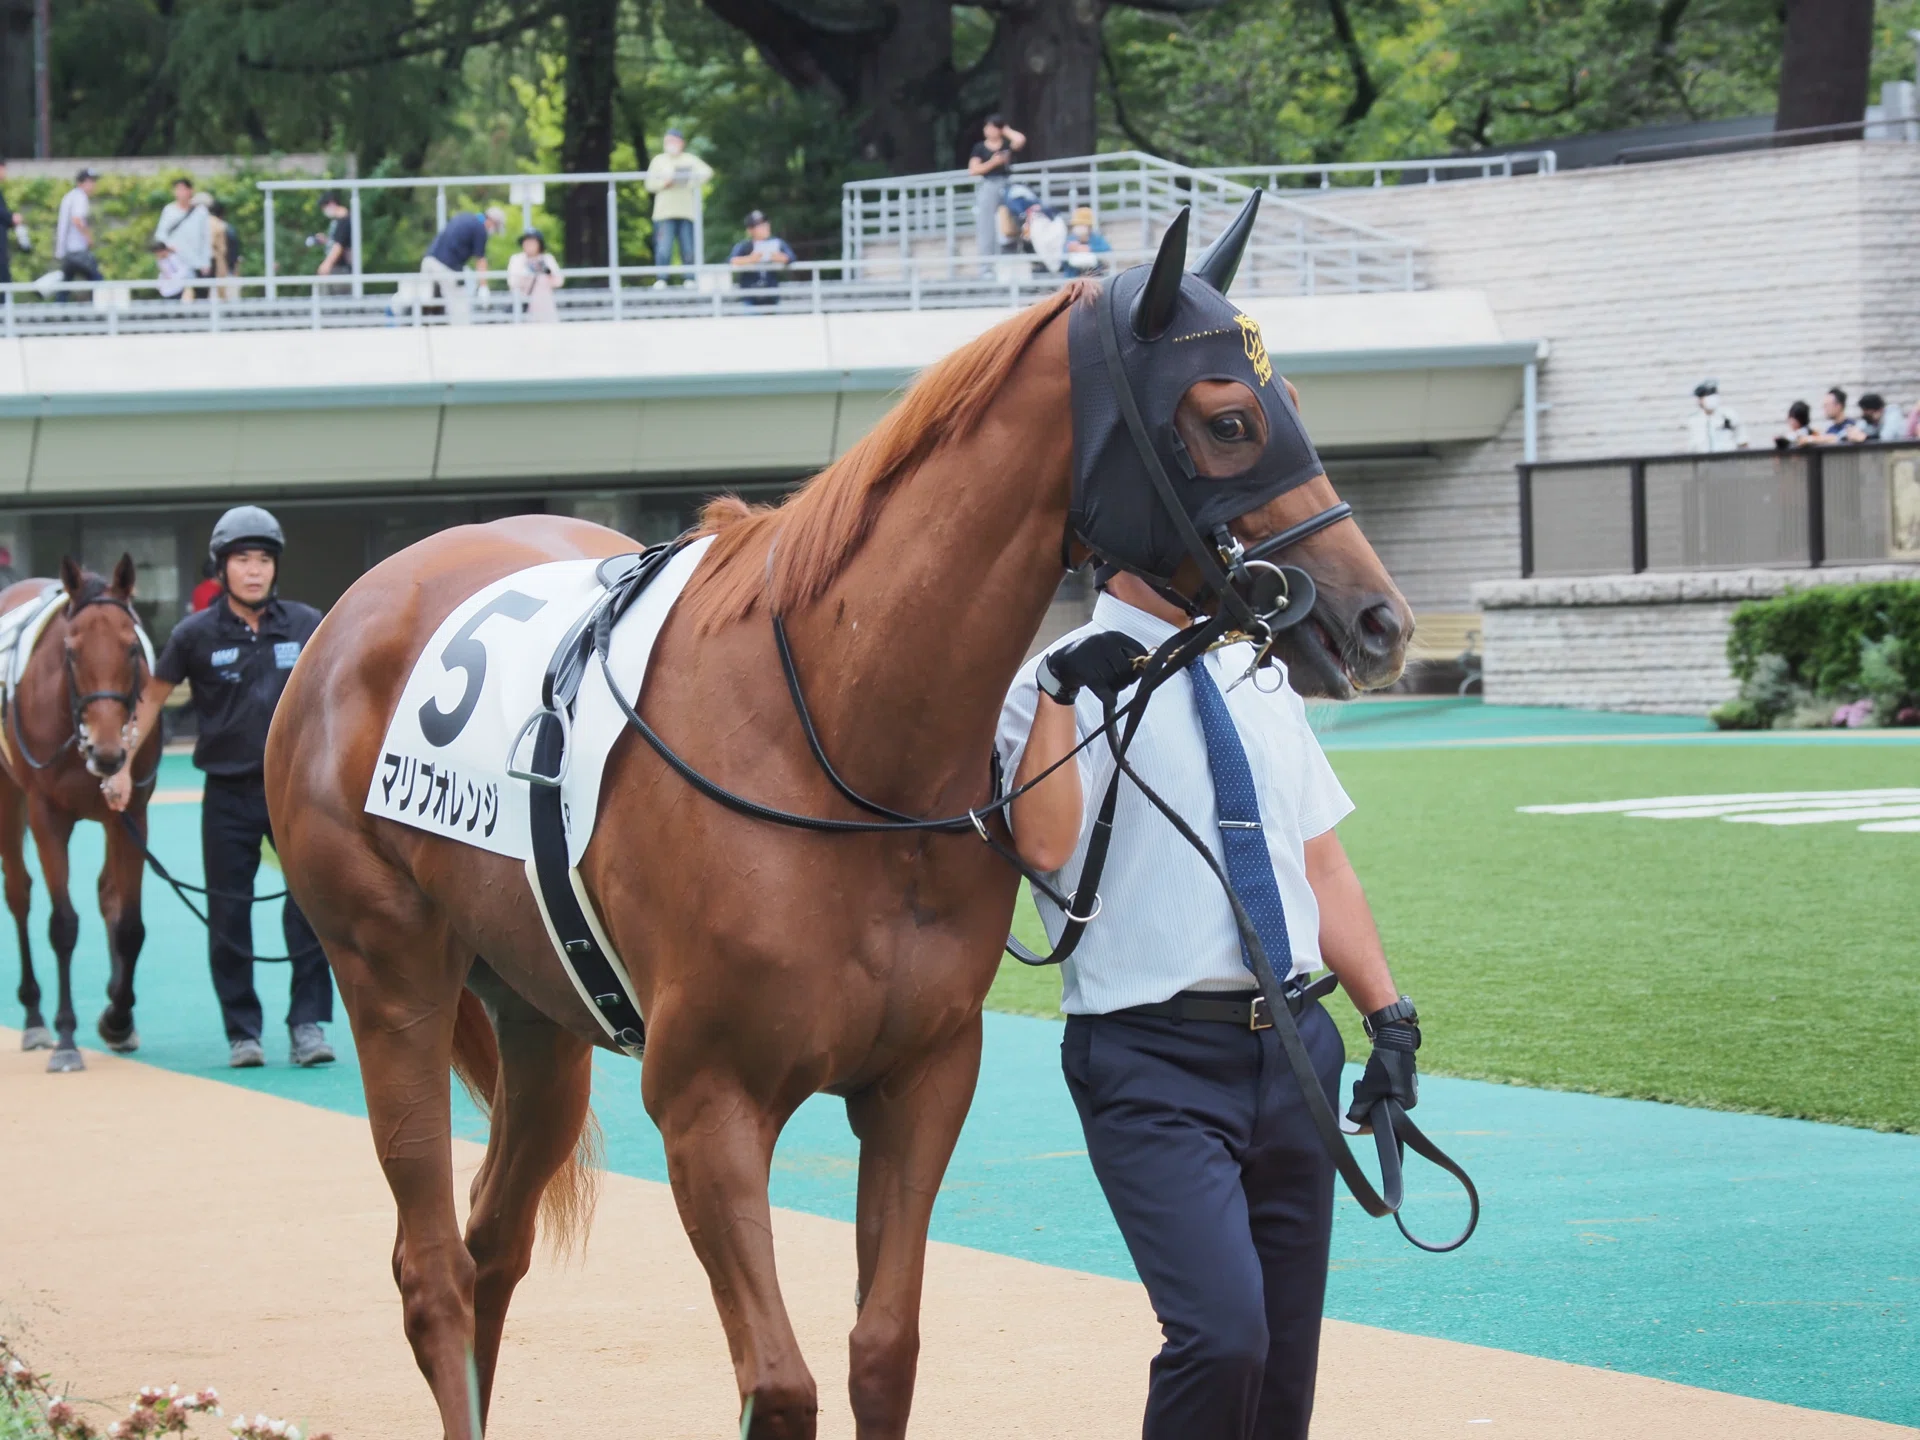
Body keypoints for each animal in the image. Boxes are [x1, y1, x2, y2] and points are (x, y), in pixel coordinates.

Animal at [0, 555, 158, 1072]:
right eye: (70, 652)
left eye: (132, 648)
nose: (109, 754)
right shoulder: (47, 815)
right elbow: (63, 925)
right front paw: (67, 1039)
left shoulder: (132, 811)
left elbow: (129, 925)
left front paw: (119, 1018)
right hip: (9, 796)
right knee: (19, 894)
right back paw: (33, 1018)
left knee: (108, 893)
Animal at [265, 212, 1413, 1439]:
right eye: (1230, 418)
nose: (1376, 620)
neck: (842, 744)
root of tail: (361, 605)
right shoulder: (706, 1103)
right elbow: (779, 1385)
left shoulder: (922, 1080)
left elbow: (882, 1351)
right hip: (394, 978)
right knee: (431, 1270)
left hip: (540, 1017)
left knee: (492, 1247)